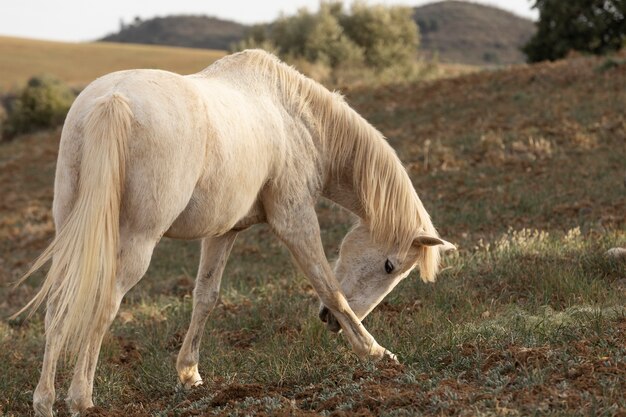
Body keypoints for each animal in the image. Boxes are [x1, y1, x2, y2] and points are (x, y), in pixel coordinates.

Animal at [15, 50, 454, 414]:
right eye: (389, 266)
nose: (328, 322)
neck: (295, 117)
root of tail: (112, 101)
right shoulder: (294, 217)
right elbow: (329, 286)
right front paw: (376, 353)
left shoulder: (223, 232)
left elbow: (206, 297)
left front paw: (189, 374)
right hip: (137, 243)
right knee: (104, 304)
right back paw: (80, 399)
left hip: (74, 232)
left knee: (58, 305)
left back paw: (44, 401)